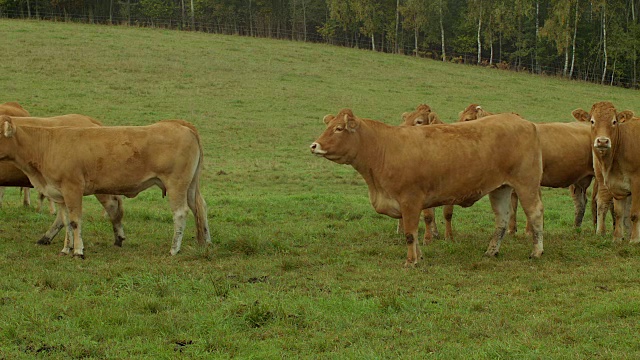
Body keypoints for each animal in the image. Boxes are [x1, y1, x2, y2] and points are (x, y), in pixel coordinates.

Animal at [312, 108, 544, 266]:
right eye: (327, 126)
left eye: (338, 128)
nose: (314, 145)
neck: (385, 147)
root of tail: (523, 121)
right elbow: (414, 232)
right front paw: (419, 257)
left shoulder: (410, 200)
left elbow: (409, 233)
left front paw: (410, 261)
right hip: (500, 189)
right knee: (502, 220)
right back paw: (491, 251)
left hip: (526, 184)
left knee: (535, 214)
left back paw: (536, 252)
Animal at [458, 103, 592, 236]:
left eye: (467, 119)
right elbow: (513, 206)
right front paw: (512, 230)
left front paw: (529, 231)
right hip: (578, 182)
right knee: (581, 202)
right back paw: (576, 228)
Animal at [572, 101, 636, 242]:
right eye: (592, 121)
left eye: (614, 121)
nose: (602, 141)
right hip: (603, 180)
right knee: (603, 201)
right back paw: (602, 231)